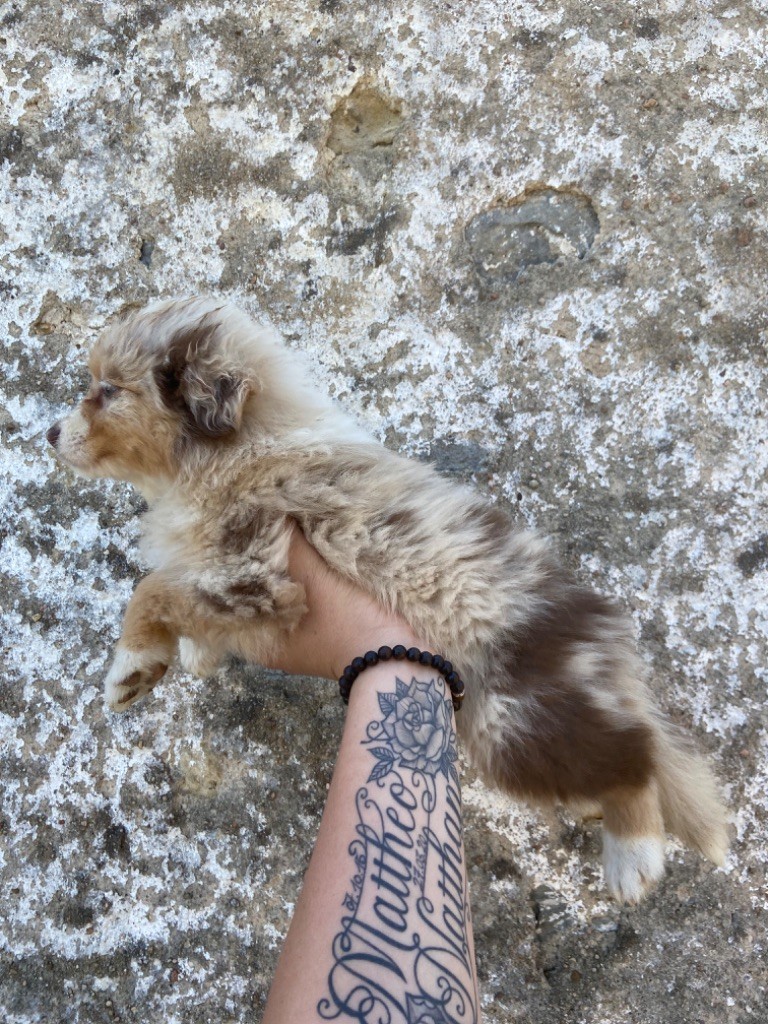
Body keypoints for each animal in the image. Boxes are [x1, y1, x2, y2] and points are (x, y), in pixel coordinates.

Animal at [47, 296, 729, 902]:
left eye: (109, 390)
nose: (50, 432)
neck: (231, 453)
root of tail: (608, 649)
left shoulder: (263, 574)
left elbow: (151, 588)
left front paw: (131, 668)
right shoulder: (230, 579)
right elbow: (185, 598)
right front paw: (192, 654)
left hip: (515, 721)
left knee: (633, 756)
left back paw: (634, 855)